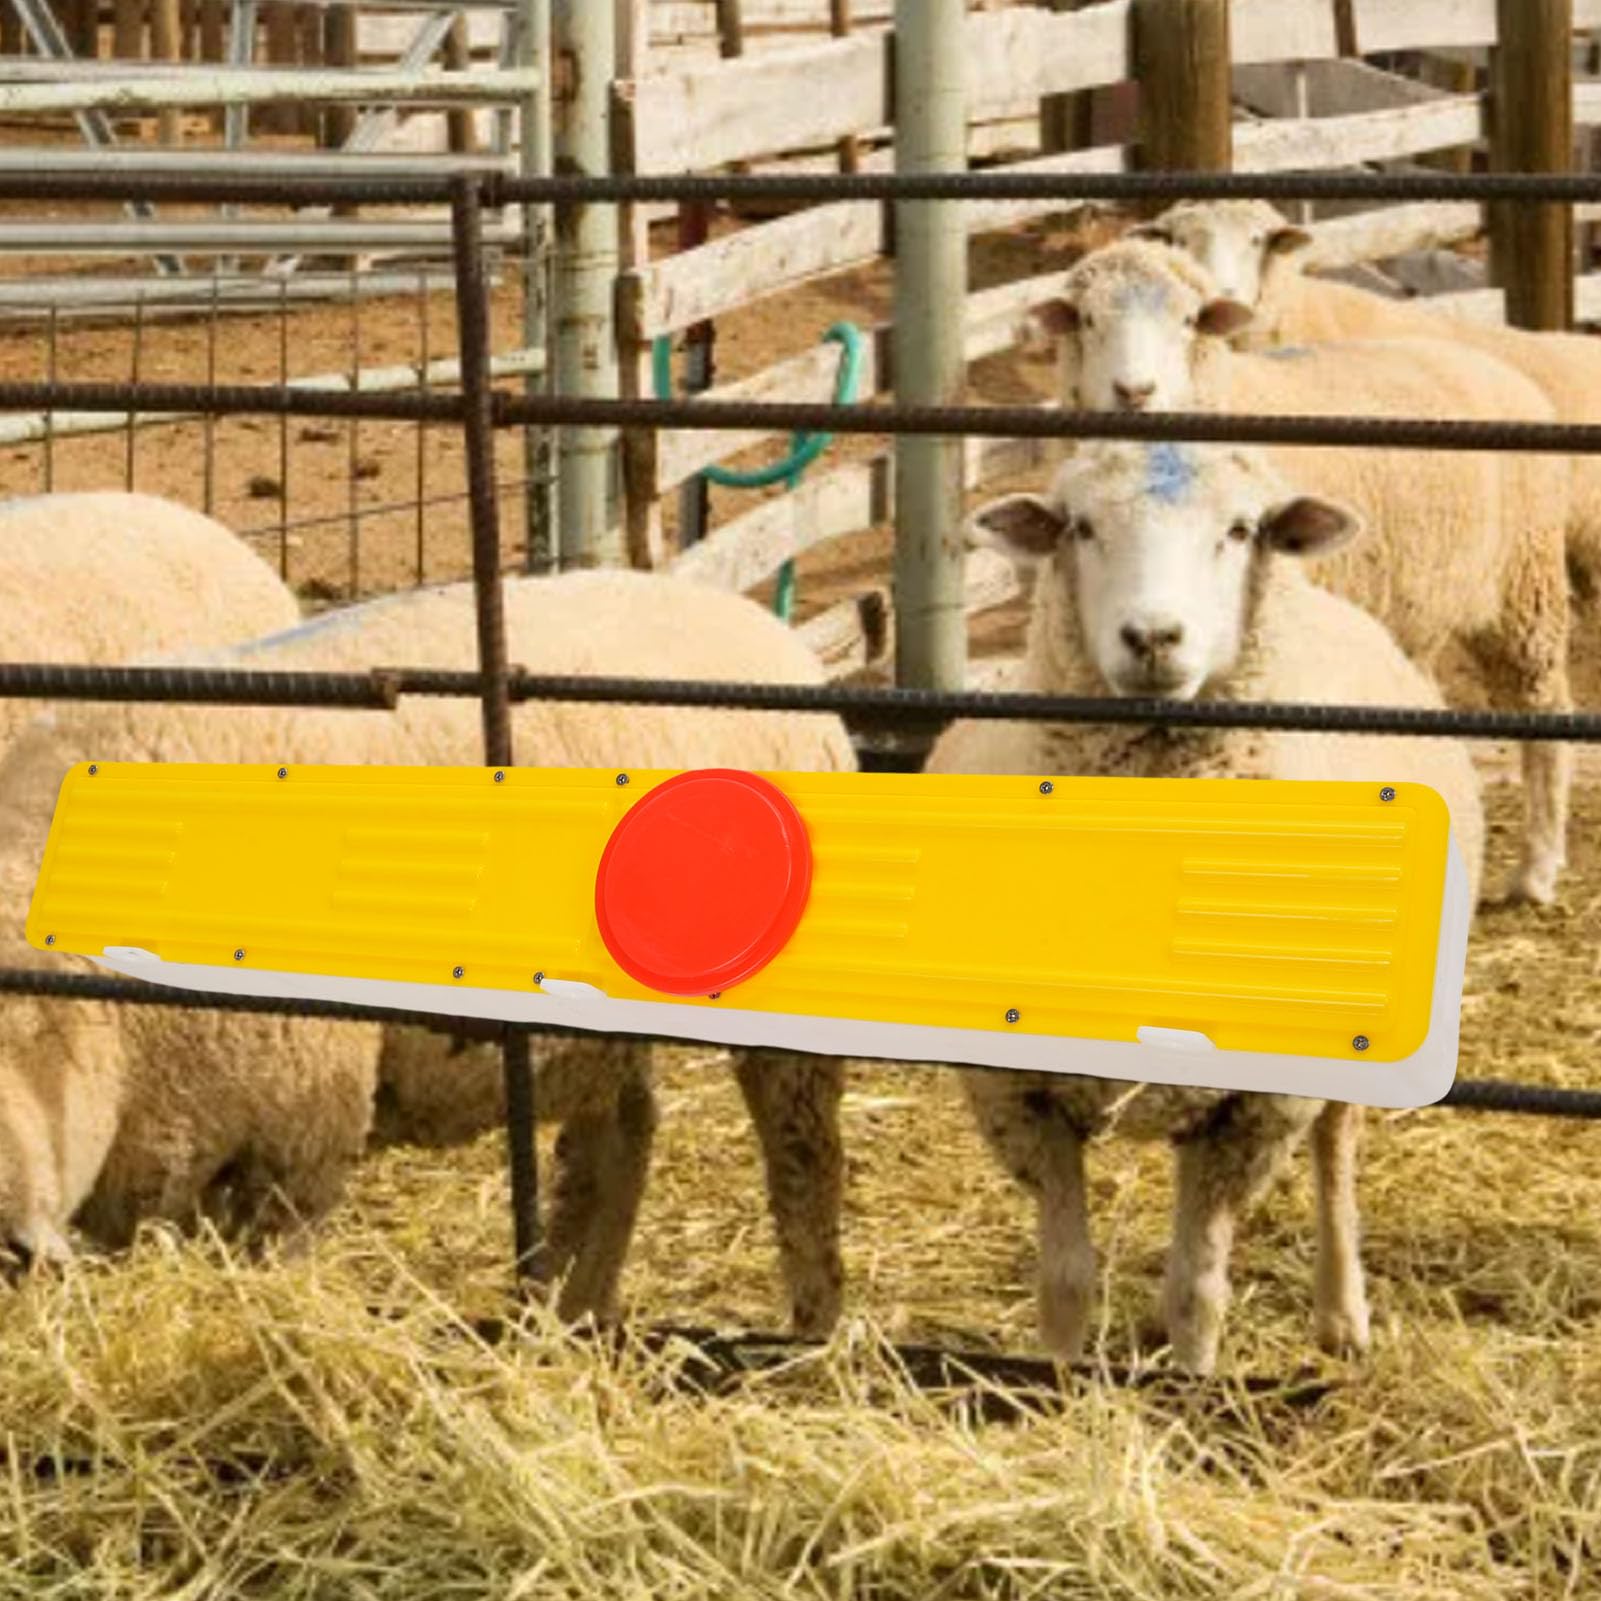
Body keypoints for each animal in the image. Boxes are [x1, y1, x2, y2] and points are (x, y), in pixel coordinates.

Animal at [0, 570, 853, 1336]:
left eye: (34, 1027)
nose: (13, 1246)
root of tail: (767, 631)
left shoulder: (299, 1132)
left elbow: (277, 1260)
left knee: (799, 1145)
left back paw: (811, 1326)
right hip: (596, 1028)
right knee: (619, 1138)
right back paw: (571, 1309)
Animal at [926, 439, 1485, 1372]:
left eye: (1238, 530)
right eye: (1080, 527)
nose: (1152, 637)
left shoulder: (1252, 1108)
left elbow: (1197, 1292)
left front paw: (1191, 1382)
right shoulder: (1018, 1095)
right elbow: (1065, 1282)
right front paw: (1058, 1377)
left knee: (1336, 1149)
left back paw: (1342, 1315)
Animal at [1036, 236, 1570, 906]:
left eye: (1187, 320)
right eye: (1087, 319)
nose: (1135, 390)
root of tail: (1498, 365)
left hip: (1524, 586)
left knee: (1545, 706)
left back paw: (1538, 868)